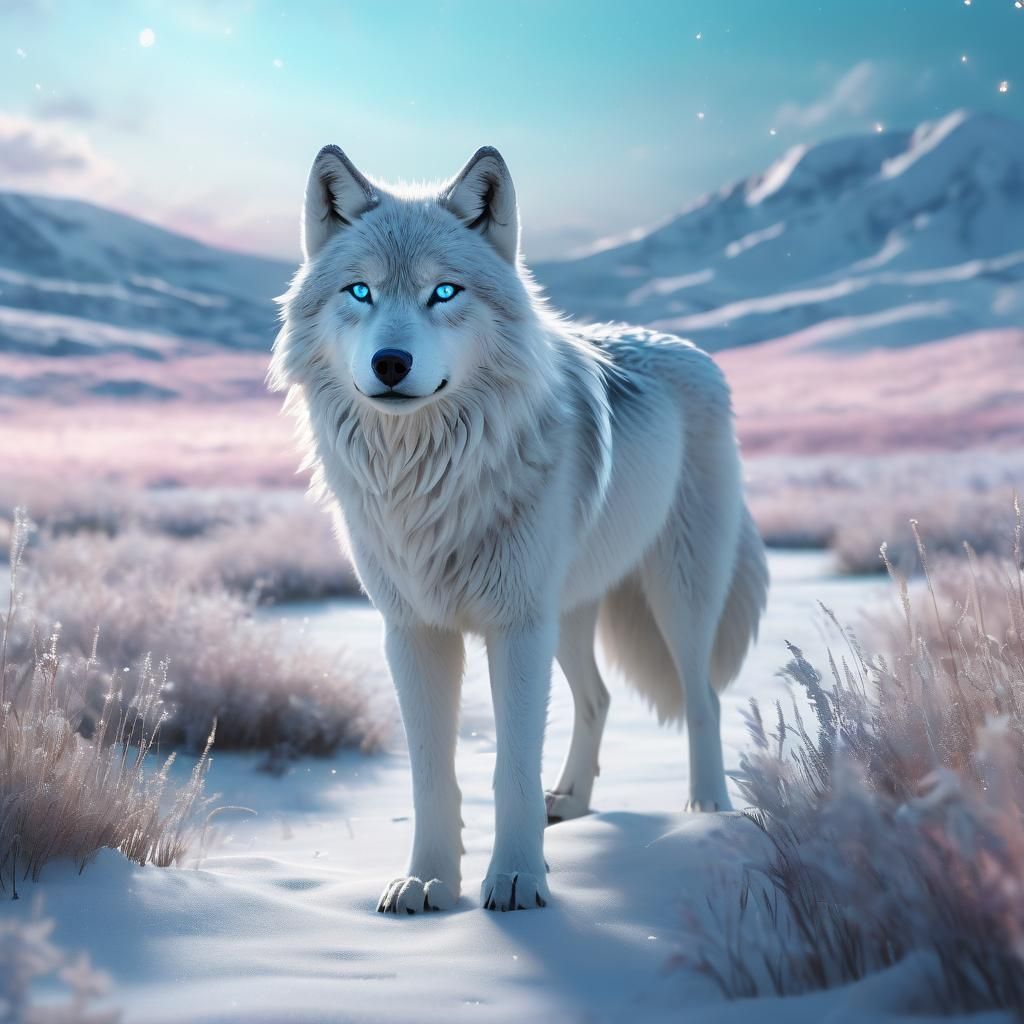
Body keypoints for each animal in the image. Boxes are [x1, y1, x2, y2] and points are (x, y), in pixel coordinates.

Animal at [269, 145, 769, 914]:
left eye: (444, 293)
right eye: (360, 292)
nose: (390, 364)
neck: (429, 479)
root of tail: (693, 350)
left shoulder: (515, 627)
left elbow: (510, 768)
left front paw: (515, 881)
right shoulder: (413, 630)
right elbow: (430, 773)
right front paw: (427, 882)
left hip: (676, 597)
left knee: (703, 698)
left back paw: (705, 816)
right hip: (568, 615)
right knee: (598, 697)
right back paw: (572, 800)